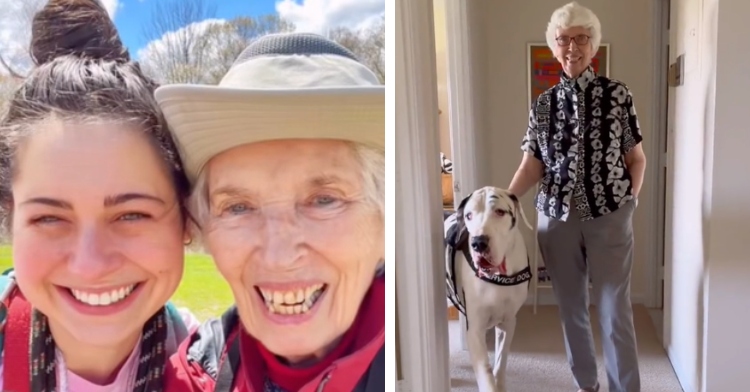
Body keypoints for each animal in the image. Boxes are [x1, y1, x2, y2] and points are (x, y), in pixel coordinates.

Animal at [446, 185, 536, 390]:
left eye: (500, 212)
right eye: (469, 215)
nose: (478, 242)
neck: (499, 278)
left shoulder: (508, 323)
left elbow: (501, 362)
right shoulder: (475, 331)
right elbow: (486, 375)